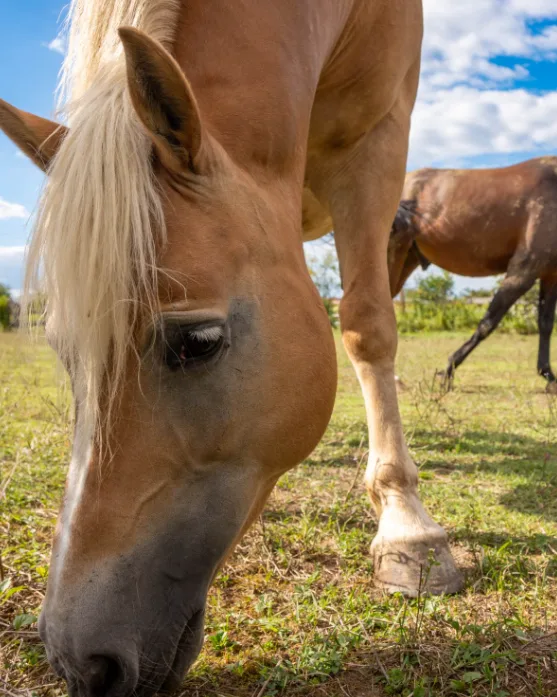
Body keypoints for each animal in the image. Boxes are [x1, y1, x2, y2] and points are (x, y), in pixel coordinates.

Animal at [0, 1, 463, 695]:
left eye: (198, 341)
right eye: (63, 349)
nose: (80, 663)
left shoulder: (376, 144)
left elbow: (367, 323)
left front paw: (409, 529)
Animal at [388, 159, 557, 390]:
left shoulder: (550, 274)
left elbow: (546, 323)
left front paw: (549, 375)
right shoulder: (524, 269)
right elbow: (488, 323)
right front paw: (447, 372)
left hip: (405, 260)